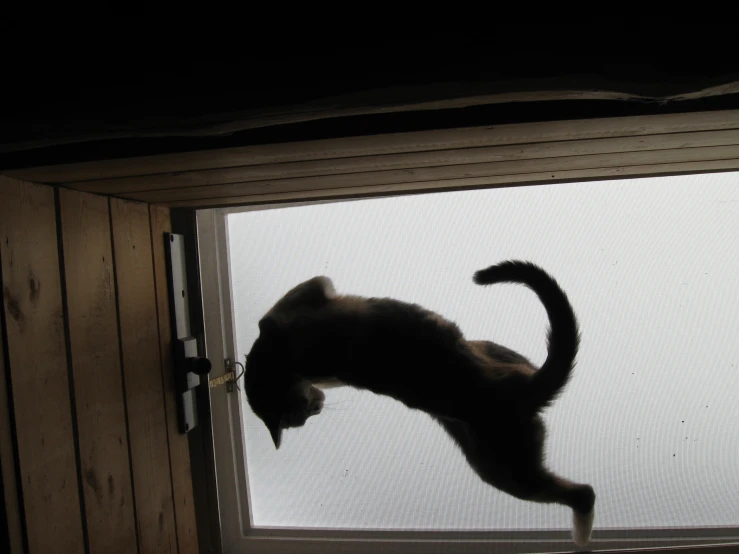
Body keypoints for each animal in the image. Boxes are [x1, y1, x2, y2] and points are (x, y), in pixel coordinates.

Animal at [246, 258, 600, 544]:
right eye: (303, 415)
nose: (316, 410)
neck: (277, 360)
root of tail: (525, 390)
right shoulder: (307, 299)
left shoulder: (297, 308)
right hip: (504, 469)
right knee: (583, 493)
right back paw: (581, 537)